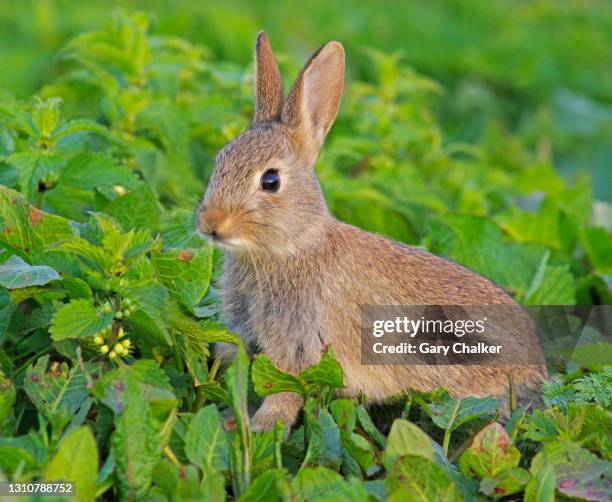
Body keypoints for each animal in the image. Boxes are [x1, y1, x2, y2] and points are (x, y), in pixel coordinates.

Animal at [198, 32, 548, 432]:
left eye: (270, 181)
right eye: (219, 160)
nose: (210, 224)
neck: (292, 245)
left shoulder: (298, 346)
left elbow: (284, 392)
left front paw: (260, 428)